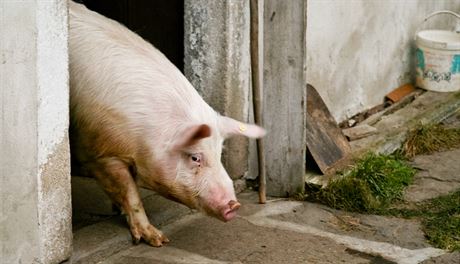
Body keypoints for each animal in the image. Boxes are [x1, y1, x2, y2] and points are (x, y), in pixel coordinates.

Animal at [66, 1, 264, 246]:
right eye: (195, 157)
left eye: (219, 154)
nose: (234, 205)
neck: (143, 135)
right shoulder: (100, 150)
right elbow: (129, 192)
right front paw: (158, 240)